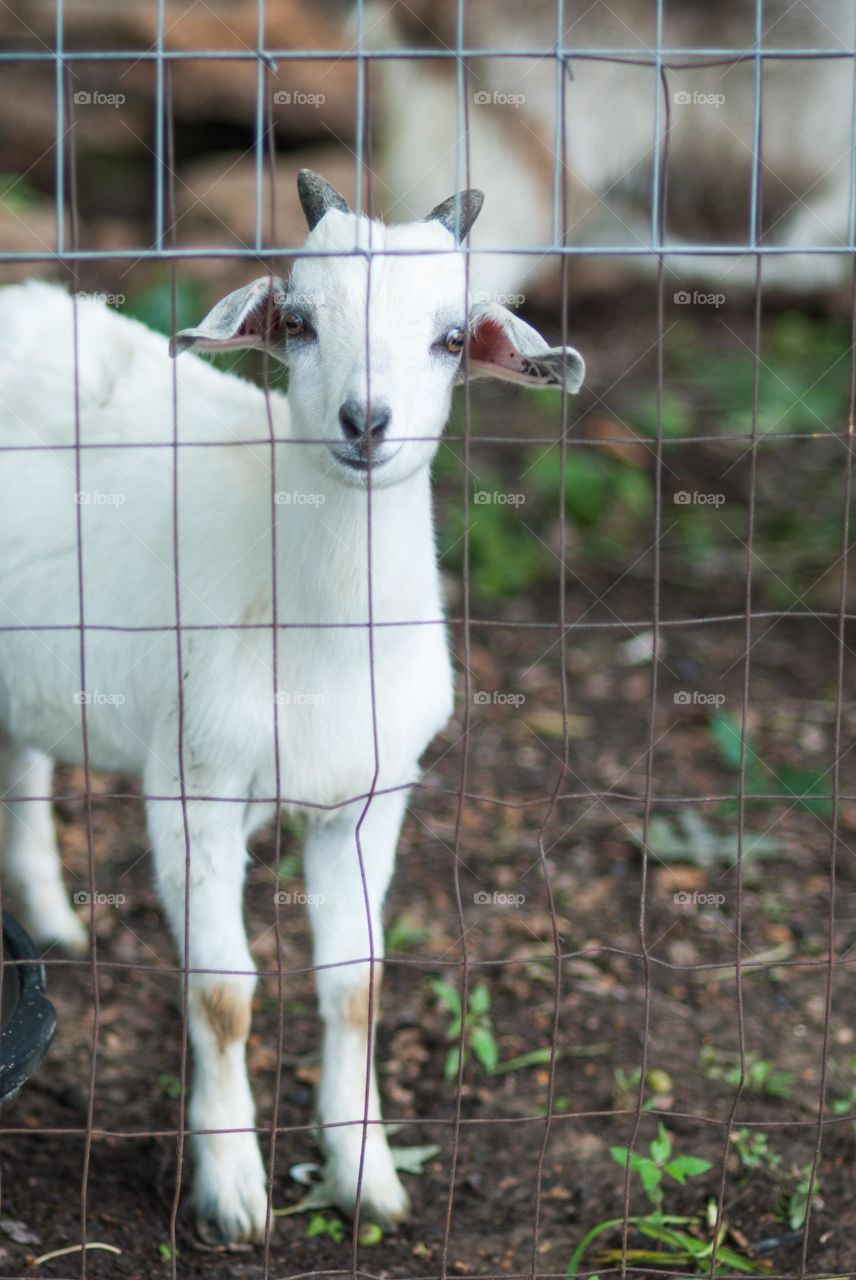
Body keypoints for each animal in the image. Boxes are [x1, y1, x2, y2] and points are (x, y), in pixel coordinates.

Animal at [0, 170, 580, 1239]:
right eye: (300, 321)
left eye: (451, 337)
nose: (366, 422)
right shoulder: (194, 781)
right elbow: (224, 995)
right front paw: (233, 1191)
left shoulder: (370, 798)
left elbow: (358, 986)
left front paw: (368, 1175)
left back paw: (54, 920)